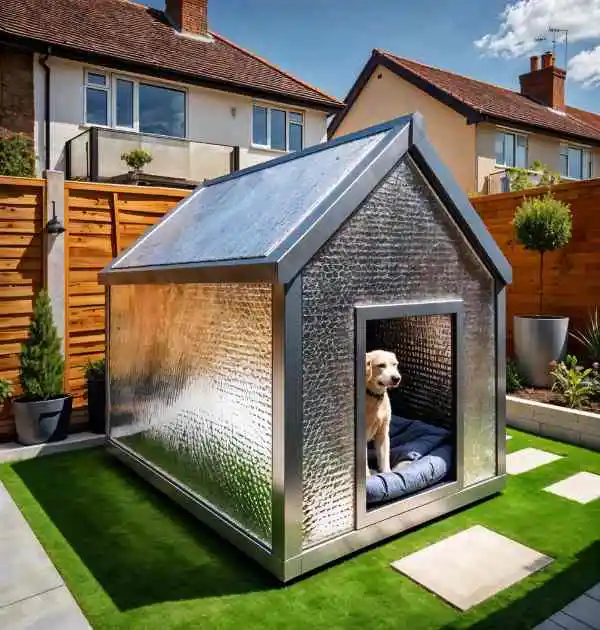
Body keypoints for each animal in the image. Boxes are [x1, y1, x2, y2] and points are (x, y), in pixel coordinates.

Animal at [364, 350, 400, 478]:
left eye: (395, 364)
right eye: (381, 365)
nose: (397, 378)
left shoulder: (383, 433)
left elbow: (384, 457)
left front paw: (388, 475)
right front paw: (367, 477)